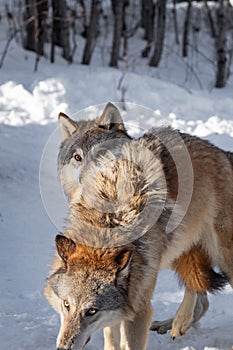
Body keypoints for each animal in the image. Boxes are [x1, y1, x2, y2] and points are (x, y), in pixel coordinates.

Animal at [44, 102, 232, 348]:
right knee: (200, 293)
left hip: (220, 253)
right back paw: (174, 324)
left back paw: (179, 322)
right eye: (77, 157)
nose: (63, 346)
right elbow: (111, 337)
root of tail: (222, 153)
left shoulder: (139, 301)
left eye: (103, 154)